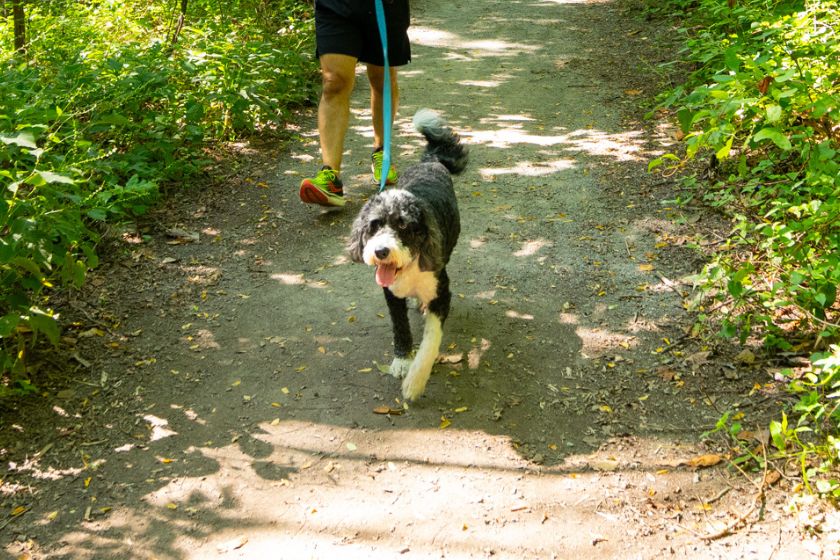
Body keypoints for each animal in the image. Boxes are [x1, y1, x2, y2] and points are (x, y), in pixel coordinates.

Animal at [346, 109, 470, 400]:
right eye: (374, 225)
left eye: (404, 226)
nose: (381, 251)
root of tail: (430, 162)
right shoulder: (391, 293)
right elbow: (400, 326)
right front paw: (402, 361)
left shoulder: (441, 294)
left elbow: (431, 341)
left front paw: (415, 382)